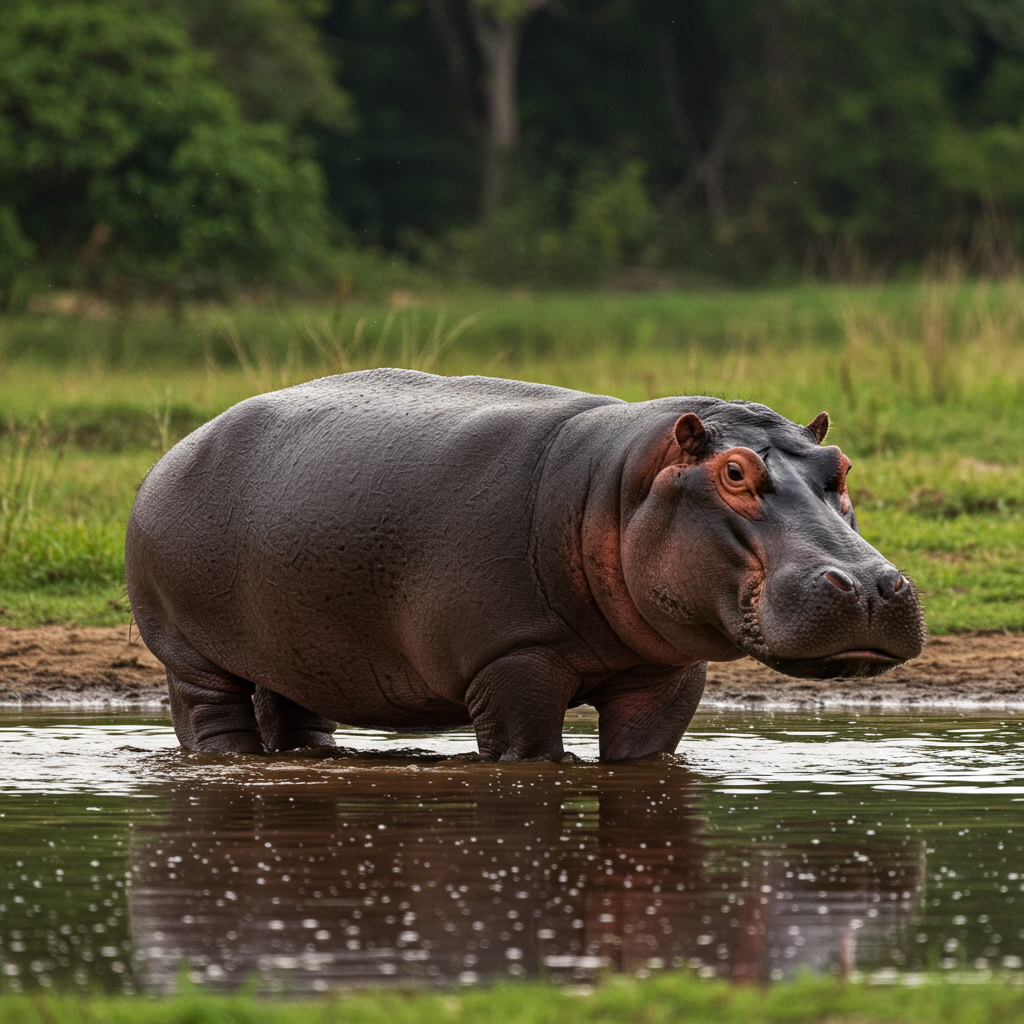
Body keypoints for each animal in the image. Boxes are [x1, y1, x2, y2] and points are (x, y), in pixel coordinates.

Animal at [125, 369, 924, 760]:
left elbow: (642, 757)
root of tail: (176, 450)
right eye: (732, 473)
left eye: (841, 464)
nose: (871, 587)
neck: (617, 485)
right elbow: (531, 757)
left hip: (302, 653)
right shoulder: (511, 663)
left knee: (297, 717)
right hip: (190, 653)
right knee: (209, 721)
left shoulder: (664, 675)